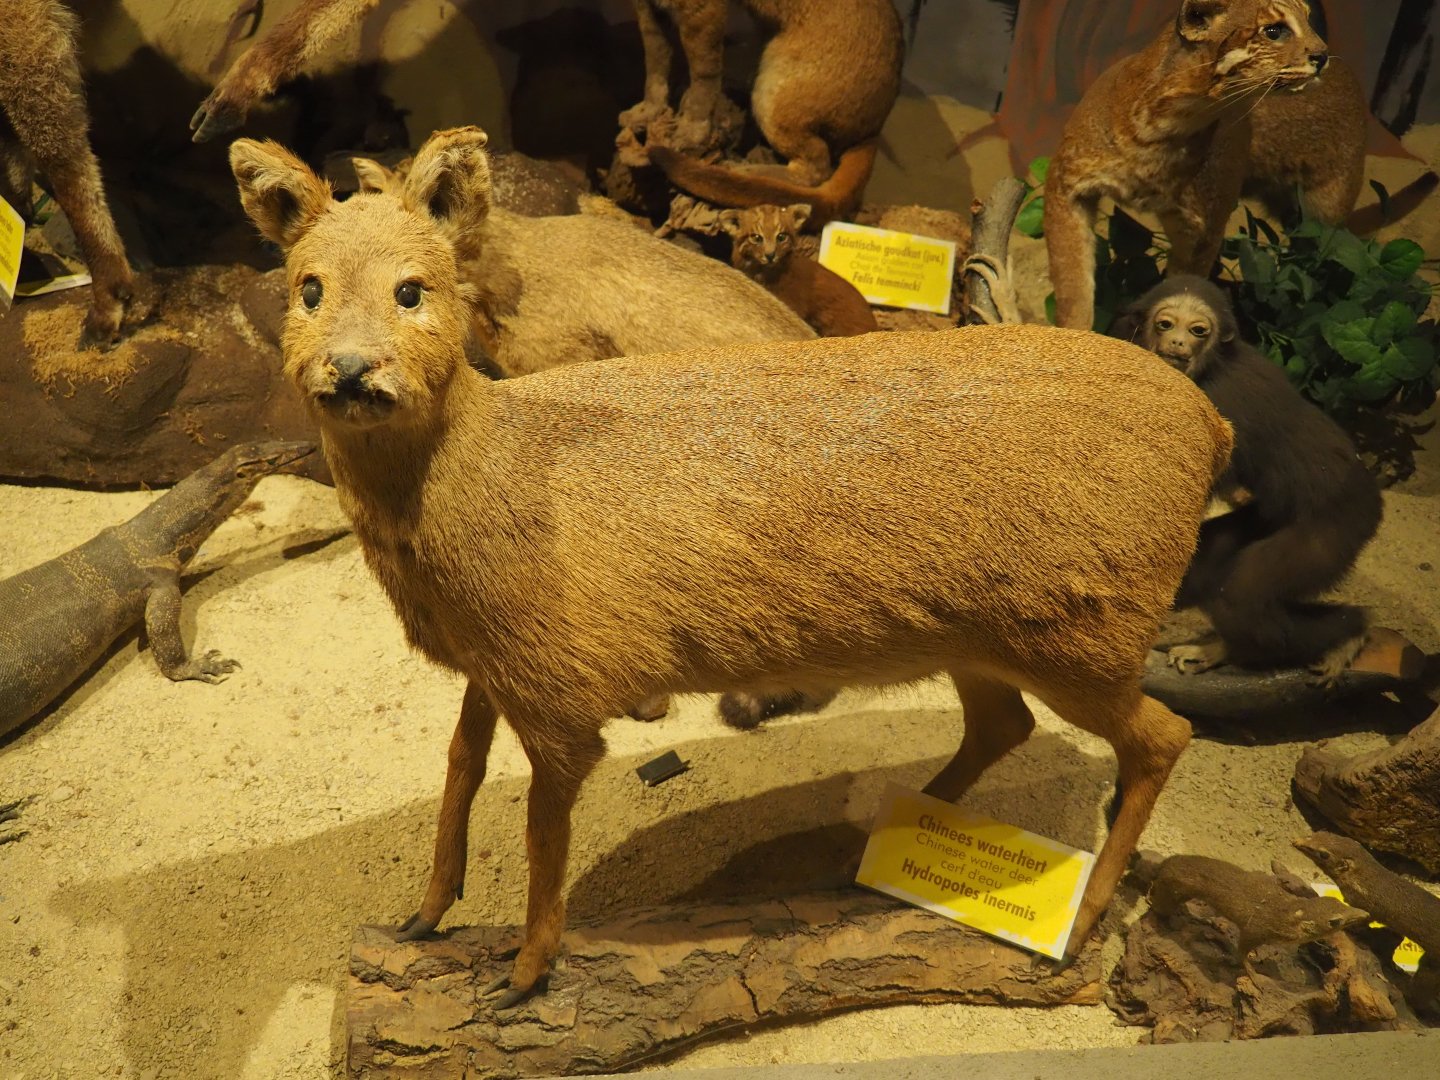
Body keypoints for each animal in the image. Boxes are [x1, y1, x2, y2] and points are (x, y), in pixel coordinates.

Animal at [230, 125, 1233, 1008]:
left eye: (413, 288)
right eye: (307, 287)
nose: (350, 371)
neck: (503, 469)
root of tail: (1209, 424)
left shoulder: (560, 704)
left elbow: (542, 834)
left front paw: (524, 973)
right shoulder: (495, 669)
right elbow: (457, 772)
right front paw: (424, 915)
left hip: (1085, 645)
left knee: (1163, 736)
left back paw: (1080, 922)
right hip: (984, 643)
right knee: (1005, 726)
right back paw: (877, 846)